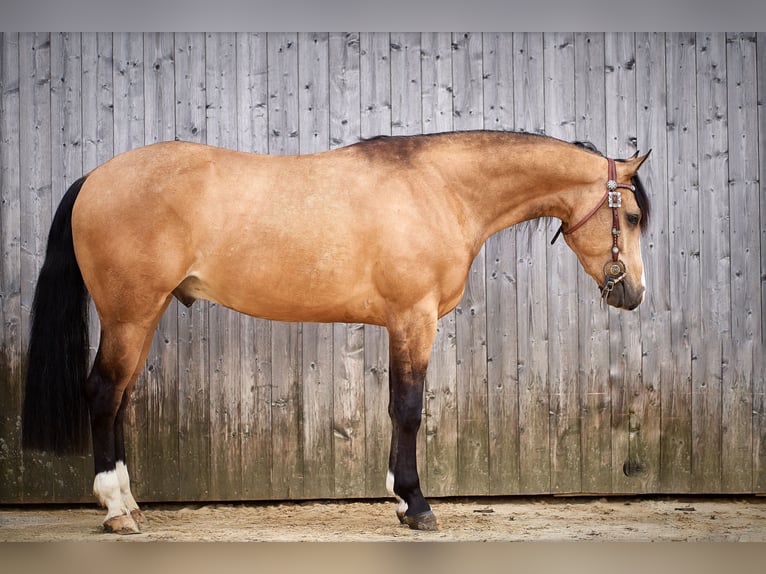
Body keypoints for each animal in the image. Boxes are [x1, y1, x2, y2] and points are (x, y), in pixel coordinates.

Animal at [21, 130, 652, 536]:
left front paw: (401, 499)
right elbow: (408, 409)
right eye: (633, 217)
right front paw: (415, 505)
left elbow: (396, 407)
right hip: (130, 314)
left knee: (121, 399)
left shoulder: (403, 323)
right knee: (104, 395)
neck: (438, 188)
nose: (634, 294)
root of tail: (96, 177)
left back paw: (130, 504)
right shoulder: (413, 318)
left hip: (141, 317)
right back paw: (114, 510)